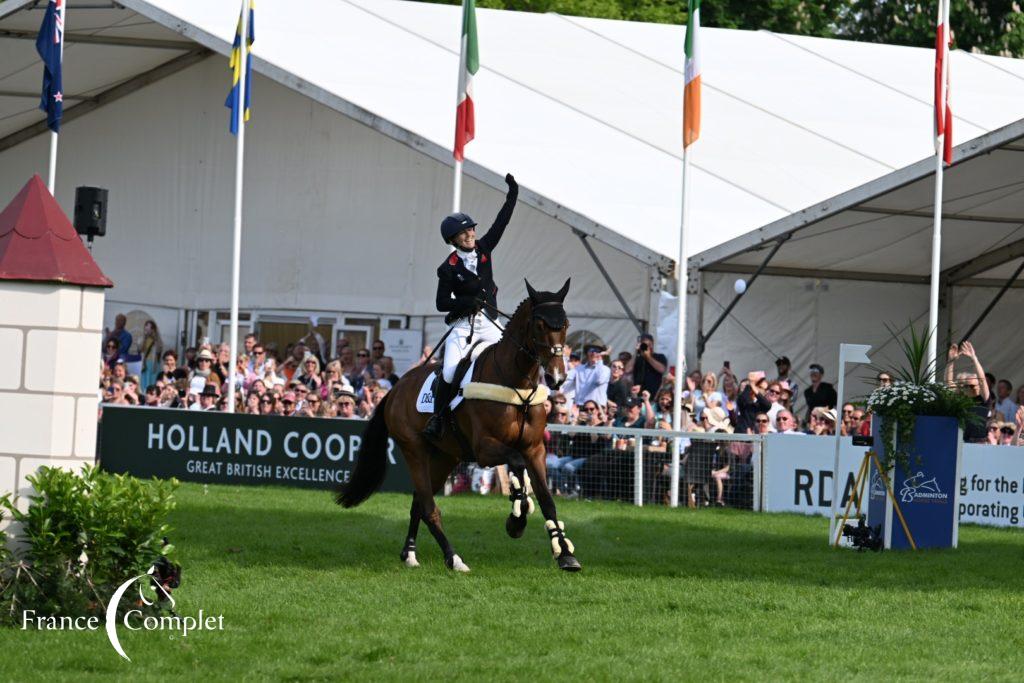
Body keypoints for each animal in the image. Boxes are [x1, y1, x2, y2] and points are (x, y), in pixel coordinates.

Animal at [337, 278, 585, 573]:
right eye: (539, 325)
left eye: (566, 324)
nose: (557, 377)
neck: (517, 387)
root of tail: (396, 389)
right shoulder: (485, 449)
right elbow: (516, 463)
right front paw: (517, 519)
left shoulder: (535, 449)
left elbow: (547, 499)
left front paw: (565, 554)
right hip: (415, 451)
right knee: (429, 507)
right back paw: (453, 558)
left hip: (445, 457)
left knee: (419, 502)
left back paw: (410, 554)